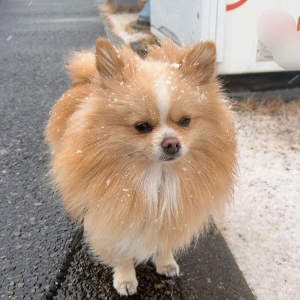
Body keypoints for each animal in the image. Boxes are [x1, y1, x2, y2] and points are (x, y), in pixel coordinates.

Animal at [45, 37, 237, 296]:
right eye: (142, 126)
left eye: (185, 121)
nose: (172, 142)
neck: (158, 176)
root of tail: (86, 78)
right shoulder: (113, 217)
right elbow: (122, 253)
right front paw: (126, 279)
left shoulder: (170, 215)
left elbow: (164, 243)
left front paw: (165, 263)